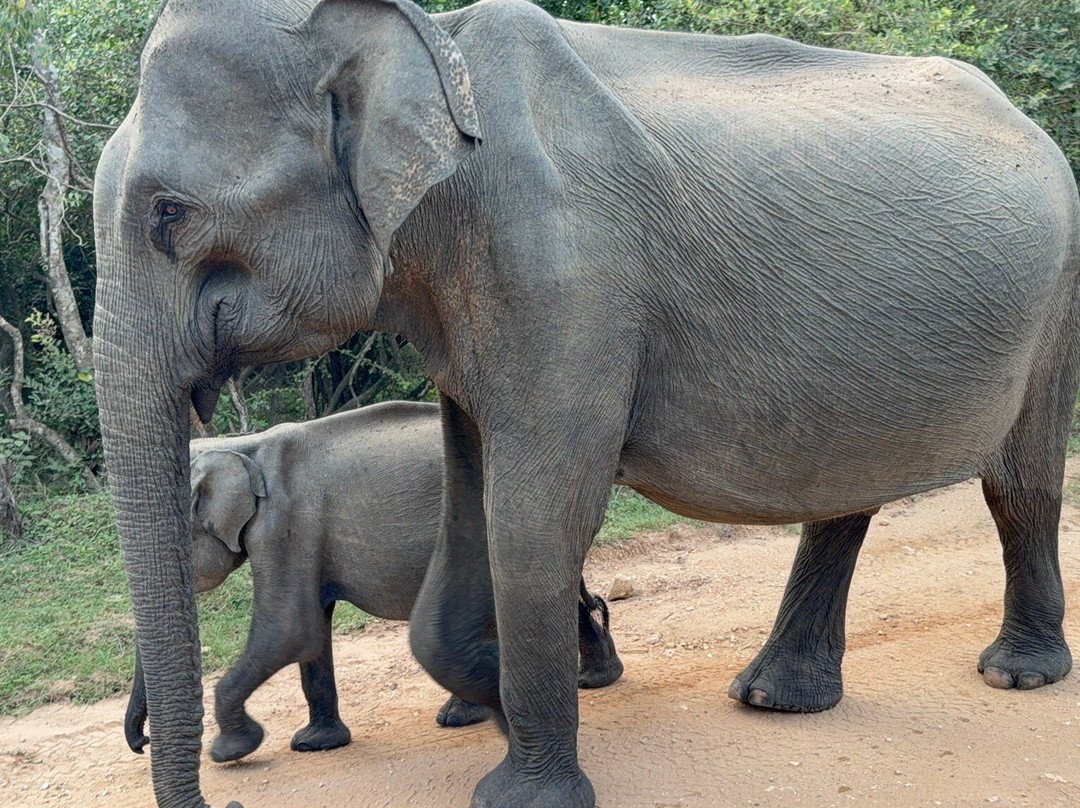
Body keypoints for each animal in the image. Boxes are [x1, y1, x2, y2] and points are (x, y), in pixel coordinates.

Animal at [122, 400, 623, 763]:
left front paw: (231, 751)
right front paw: (316, 744)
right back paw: (595, 680)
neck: (242, 446)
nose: (142, 745)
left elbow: (288, 630)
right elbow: (311, 632)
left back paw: (462, 716)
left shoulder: (284, 528)